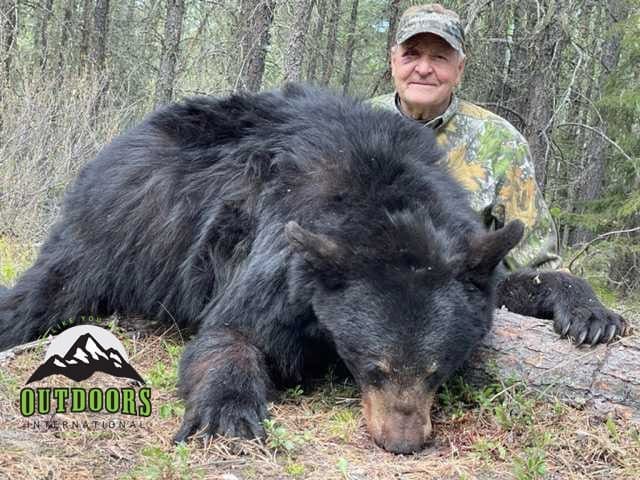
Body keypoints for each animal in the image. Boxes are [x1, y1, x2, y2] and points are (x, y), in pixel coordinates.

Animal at [0, 85, 624, 454]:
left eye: (437, 371)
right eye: (373, 368)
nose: (403, 443)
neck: (381, 196)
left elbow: (523, 273)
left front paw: (590, 312)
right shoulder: (279, 255)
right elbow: (232, 333)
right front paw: (228, 412)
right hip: (113, 235)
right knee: (45, 289)